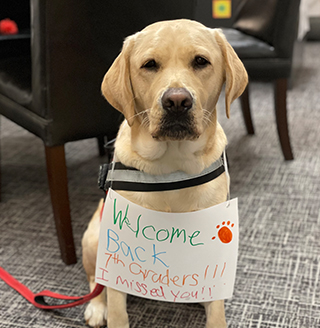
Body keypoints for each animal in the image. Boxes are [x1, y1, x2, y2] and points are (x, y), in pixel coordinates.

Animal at [82, 18, 248, 328]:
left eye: (200, 61)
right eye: (149, 65)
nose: (177, 101)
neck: (173, 165)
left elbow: (216, 309)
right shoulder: (117, 252)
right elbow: (117, 308)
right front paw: (109, 311)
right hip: (94, 237)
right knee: (94, 282)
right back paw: (97, 308)